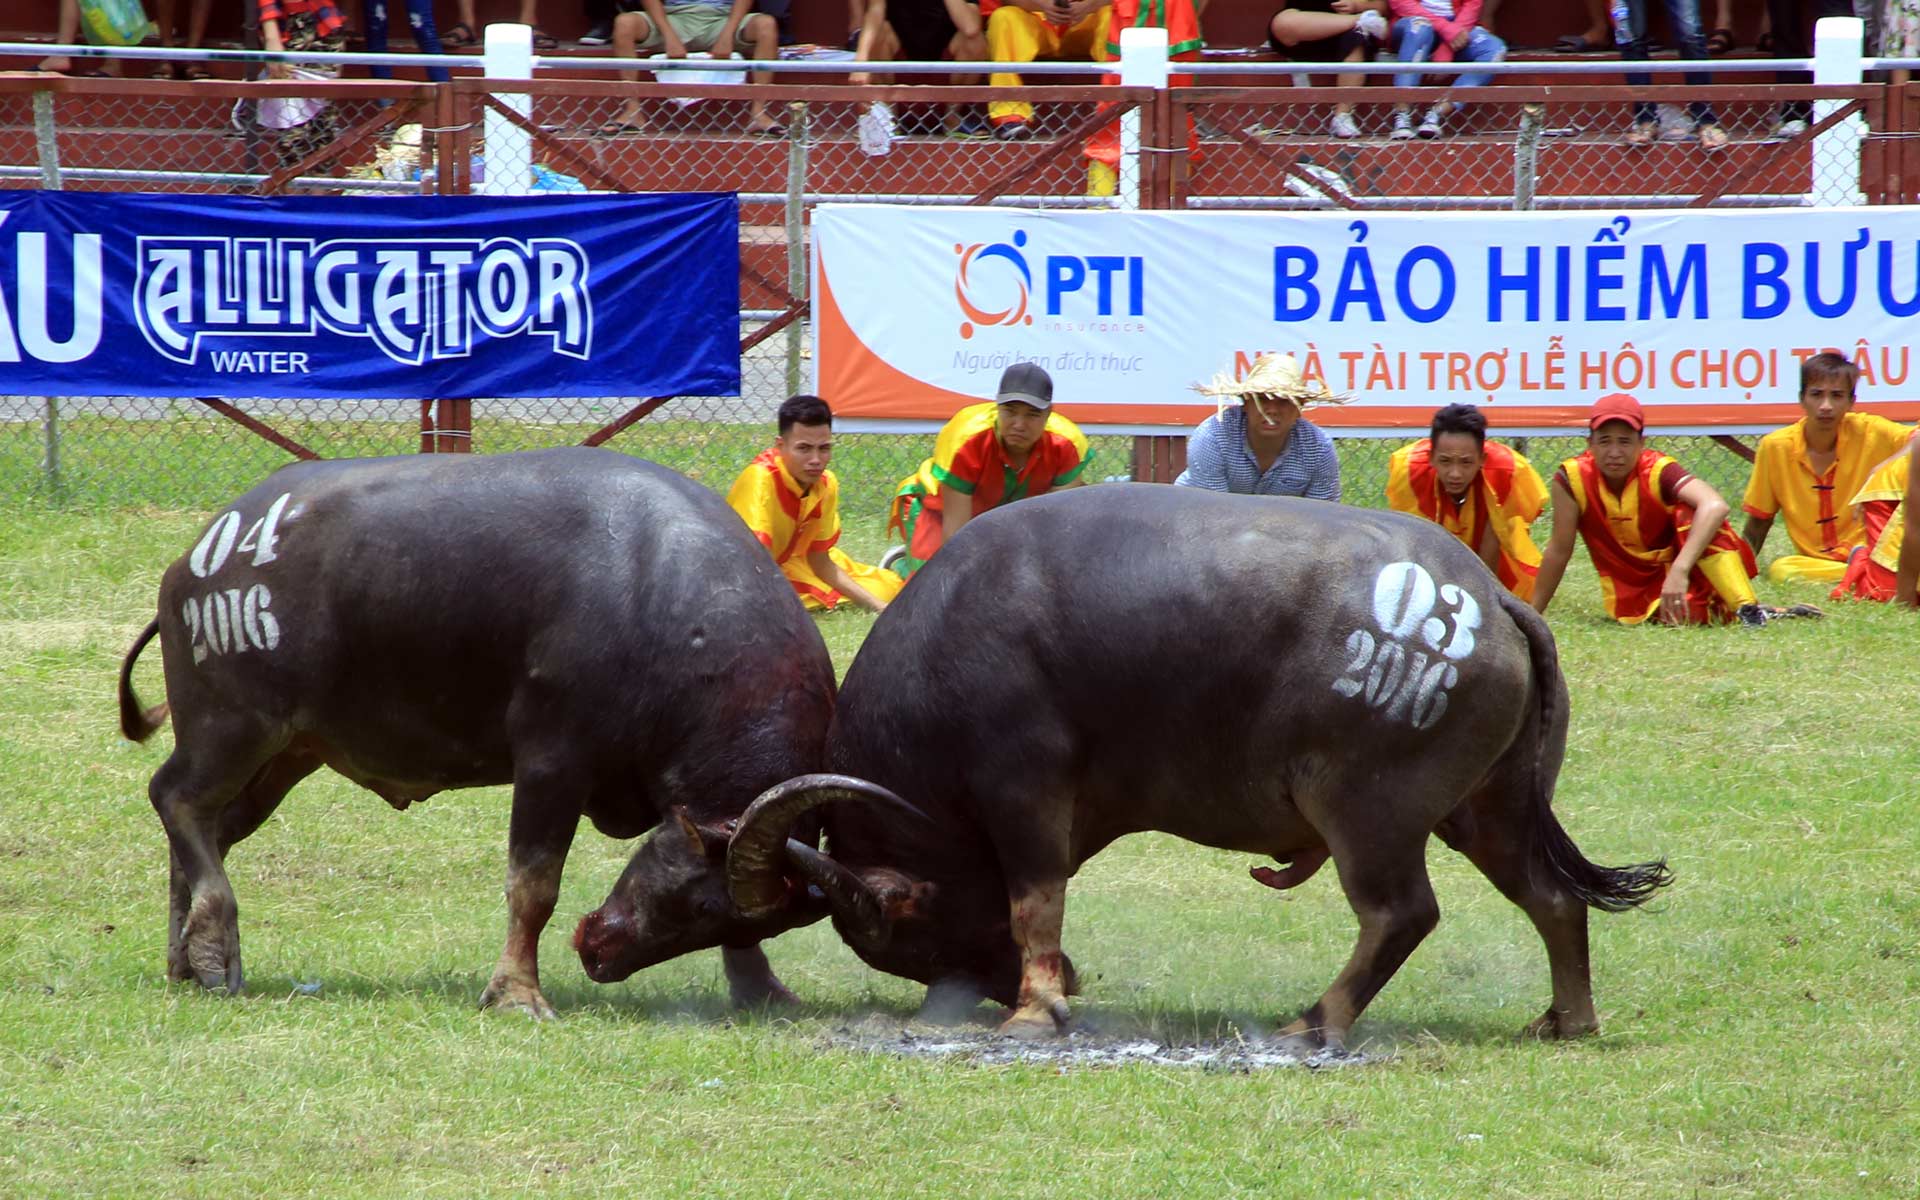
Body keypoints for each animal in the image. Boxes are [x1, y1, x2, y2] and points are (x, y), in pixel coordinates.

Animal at [118, 445, 840, 1013]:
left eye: (714, 917)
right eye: (695, 907)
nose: (600, 953)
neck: (664, 605)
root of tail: (200, 555)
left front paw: (761, 989)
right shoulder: (552, 761)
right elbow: (533, 885)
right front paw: (517, 993)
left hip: (289, 753)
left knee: (209, 831)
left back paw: (185, 960)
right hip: (233, 726)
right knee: (176, 799)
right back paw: (213, 949)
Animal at [714, 481, 1674, 1044]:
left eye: (903, 932)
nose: (974, 992)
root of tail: (1489, 596)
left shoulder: (1023, 788)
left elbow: (1034, 901)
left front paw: (1033, 1009)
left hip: (1369, 814)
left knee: (1401, 914)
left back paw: (1314, 1022)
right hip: (1489, 808)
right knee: (1551, 900)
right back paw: (1567, 1019)